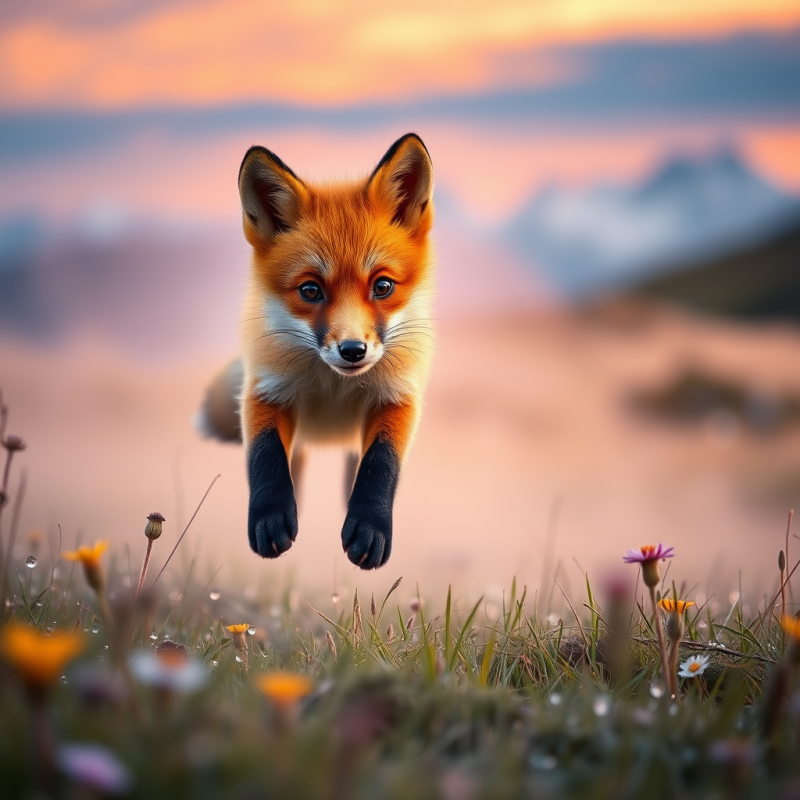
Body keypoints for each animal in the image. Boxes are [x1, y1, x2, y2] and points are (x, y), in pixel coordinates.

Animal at [198, 133, 435, 570]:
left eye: (382, 286)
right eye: (310, 290)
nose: (353, 350)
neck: (335, 388)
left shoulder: (399, 394)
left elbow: (381, 461)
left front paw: (369, 525)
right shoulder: (264, 387)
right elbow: (265, 453)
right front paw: (272, 515)